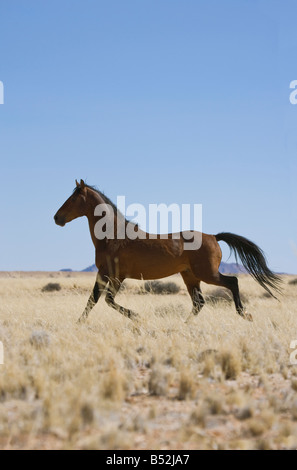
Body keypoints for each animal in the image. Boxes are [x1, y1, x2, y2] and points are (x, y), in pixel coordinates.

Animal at [53, 180, 280, 324]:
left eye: (72, 199)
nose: (57, 218)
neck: (112, 236)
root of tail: (214, 237)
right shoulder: (104, 273)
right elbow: (92, 300)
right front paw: (79, 323)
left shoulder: (116, 275)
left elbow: (107, 300)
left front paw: (137, 317)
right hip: (190, 276)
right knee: (199, 303)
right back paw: (183, 325)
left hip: (207, 274)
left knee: (232, 282)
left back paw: (244, 314)